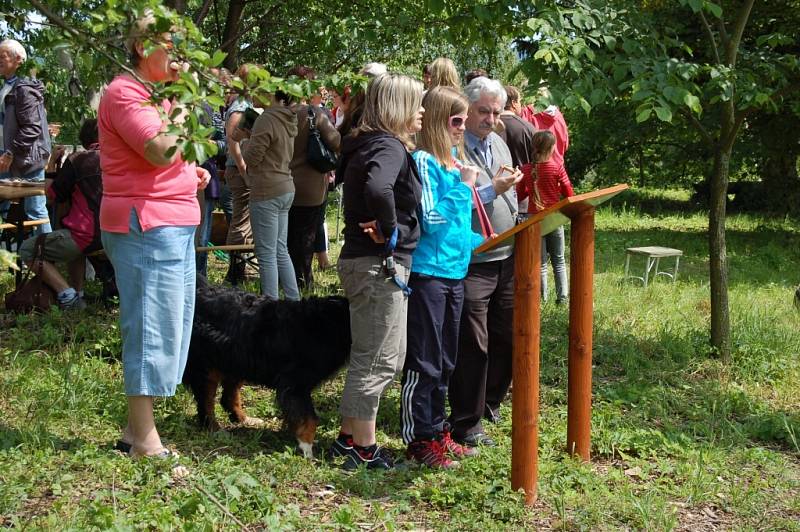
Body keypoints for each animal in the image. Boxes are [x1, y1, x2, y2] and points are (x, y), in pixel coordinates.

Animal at [188, 278, 354, 458]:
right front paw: (307, 450)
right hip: (207, 365)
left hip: (237, 359)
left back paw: (244, 419)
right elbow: (309, 418)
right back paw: (214, 429)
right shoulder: (295, 383)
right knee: (206, 401)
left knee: (227, 396)